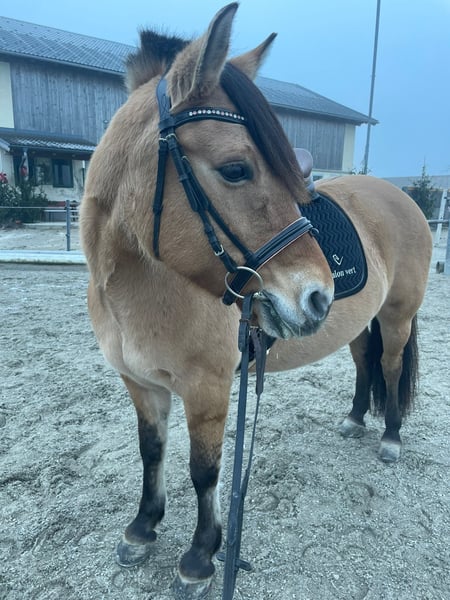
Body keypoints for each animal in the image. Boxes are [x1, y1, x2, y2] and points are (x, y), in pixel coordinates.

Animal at [79, 4, 432, 599]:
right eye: (236, 169)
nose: (317, 295)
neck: (144, 286)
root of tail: (399, 196)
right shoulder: (141, 383)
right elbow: (152, 452)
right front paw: (142, 529)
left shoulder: (208, 389)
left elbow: (205, 470)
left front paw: (201, 557)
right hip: (359, 321)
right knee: (364, 361)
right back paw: (355, 418)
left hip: (397, 316)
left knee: (387, 363)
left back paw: (388, 438)